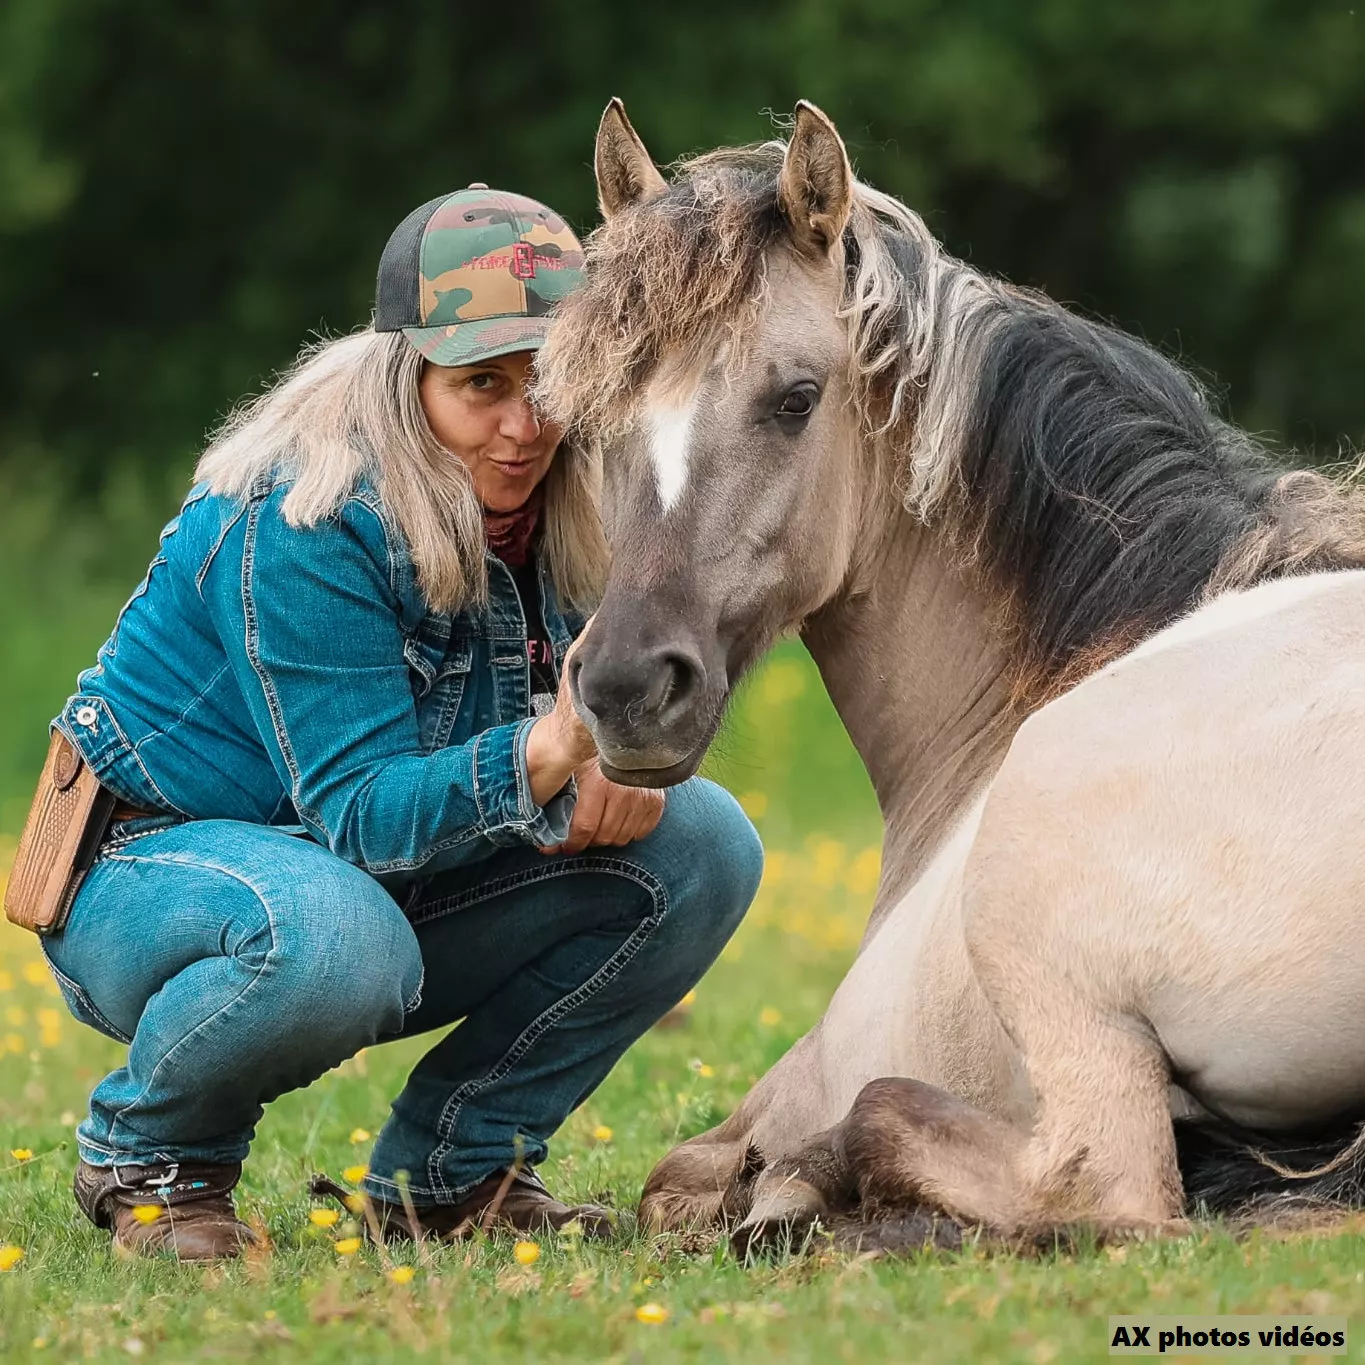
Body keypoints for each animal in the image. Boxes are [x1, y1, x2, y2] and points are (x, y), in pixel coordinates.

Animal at [535, 98, 1365, 1249]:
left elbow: (674, 1180)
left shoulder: (793, 1084)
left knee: (1082, 1184)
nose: (623, 689)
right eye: (589, 417)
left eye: (796, 398)